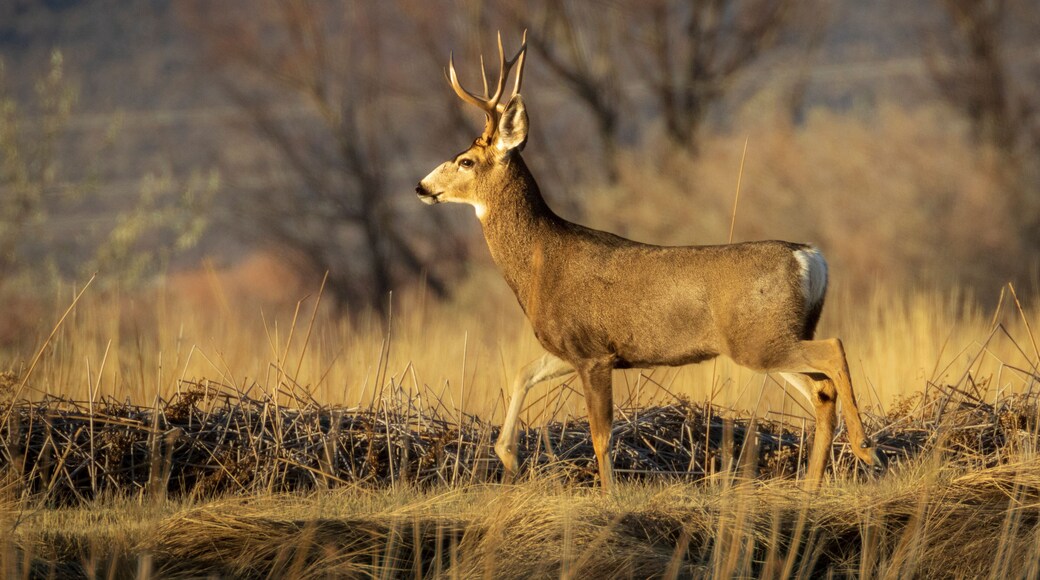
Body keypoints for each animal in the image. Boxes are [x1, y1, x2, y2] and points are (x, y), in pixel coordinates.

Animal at [415, 31, 884, 491]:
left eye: (465, 161)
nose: (421, 187)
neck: (540, 263)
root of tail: (809, 256)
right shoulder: (573, 349)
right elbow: (523, 371)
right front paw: (508, 454)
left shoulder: (593, 353)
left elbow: (600, 435)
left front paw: (608, 495)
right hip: (774, 339)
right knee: (822, 391)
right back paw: (812, 485)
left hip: (760, 339)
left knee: (834, 349)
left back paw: (865, 448)